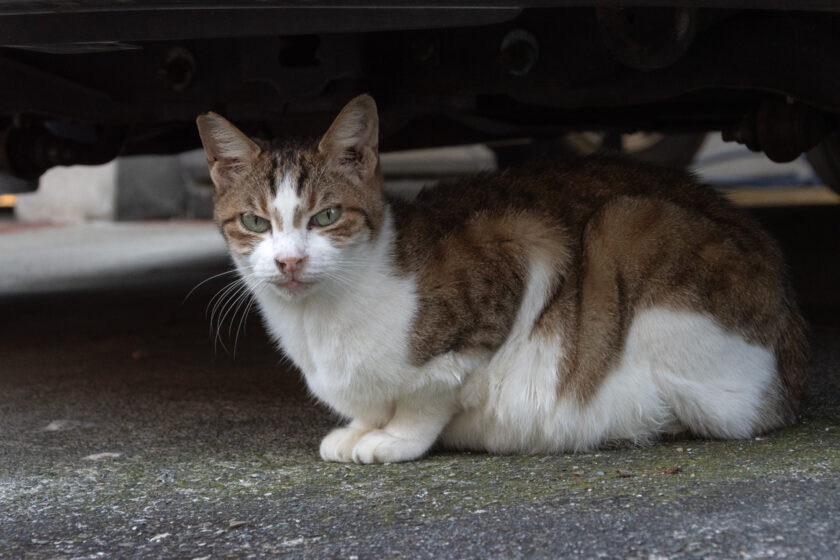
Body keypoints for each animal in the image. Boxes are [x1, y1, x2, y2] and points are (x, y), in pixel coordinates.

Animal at [195, 95, 808, 464]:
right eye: (255, 222)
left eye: (325, 216)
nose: (289, 263)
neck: (317, 323)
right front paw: (362, 426)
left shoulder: (520, 245)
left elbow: (430, 392)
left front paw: (394, 436)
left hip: (630, 225)